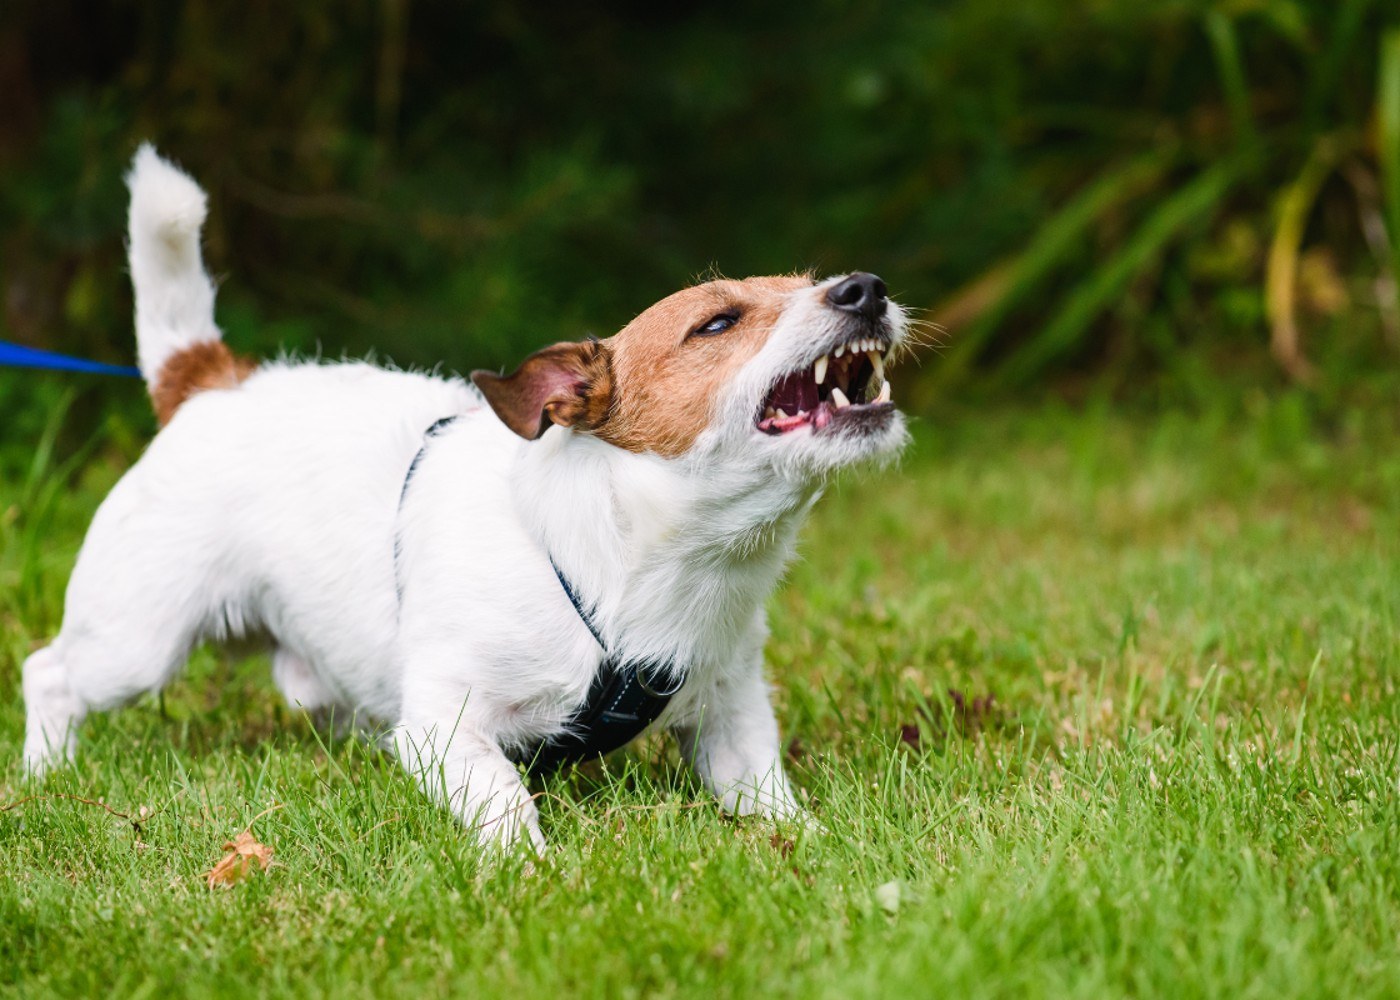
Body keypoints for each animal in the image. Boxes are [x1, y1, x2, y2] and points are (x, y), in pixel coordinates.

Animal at [24, 146, 918, 851]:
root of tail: (210, 382)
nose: (866, 288)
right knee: (49, 673)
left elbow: (765, 793)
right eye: (718, 323)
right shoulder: (443, 725)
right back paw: (44, 774)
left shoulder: (732, 713)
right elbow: (504, 799)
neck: (639, 561)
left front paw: (813, 847)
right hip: (135, 640)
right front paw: (531, 872)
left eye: (812, 282)